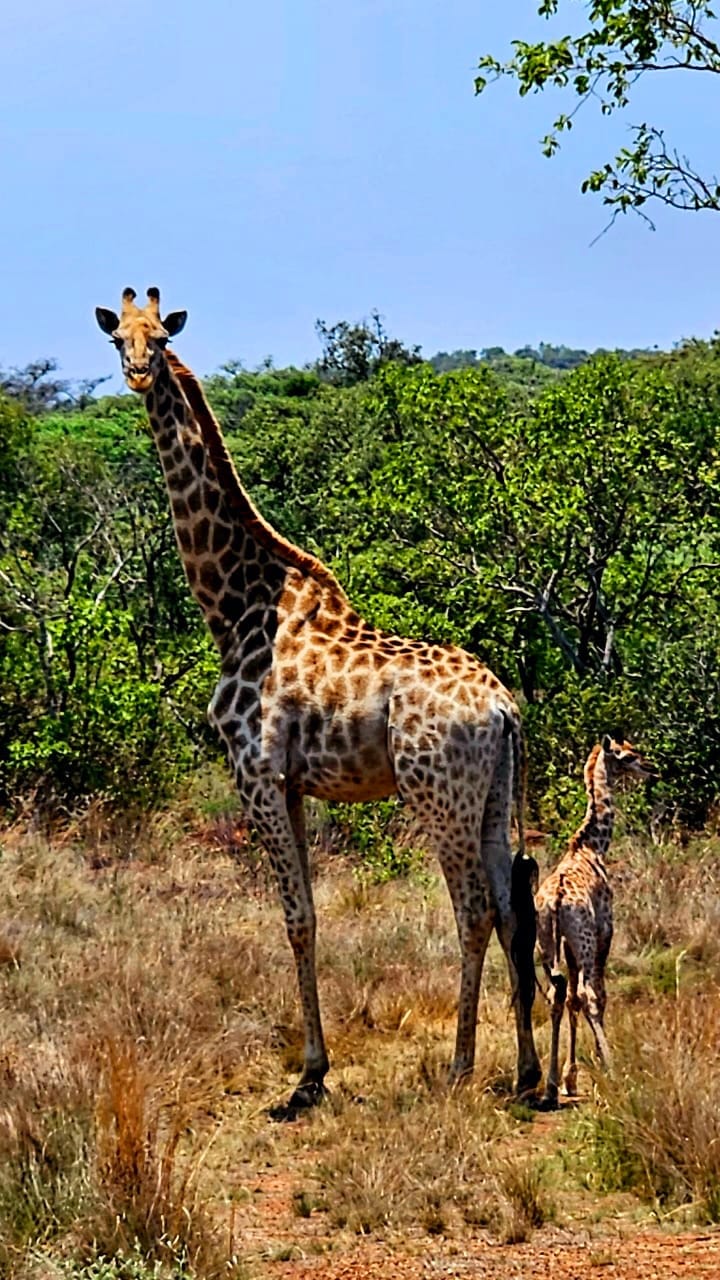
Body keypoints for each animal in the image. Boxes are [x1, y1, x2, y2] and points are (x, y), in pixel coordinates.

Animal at [95, 288, 541, 1115]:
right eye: (118, 339)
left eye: (158, 338)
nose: (138, 372)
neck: (235, 607)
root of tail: (505, 709)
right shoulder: (295, 785)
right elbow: (307, 916)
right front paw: (315, 1068)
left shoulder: (255, 775)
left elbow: (296, 916)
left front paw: (307, 1077)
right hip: (492, 796)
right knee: (510, 908)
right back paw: (529, 1072)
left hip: (438, 794)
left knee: (473, 908)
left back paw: (461, 1066)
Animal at [536, 735, 657, 1107]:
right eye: (628, 755)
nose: (652, 769)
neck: (593, 846)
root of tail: (556, 900)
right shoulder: (606, 929)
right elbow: (598, 995)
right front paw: (598, 1068)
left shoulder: (567, 947)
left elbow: (570, 999)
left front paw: (569, 1079)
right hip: (587, 939)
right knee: (590, 994)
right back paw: (614, 1071)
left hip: (546, 944)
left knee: (556, 994)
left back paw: (549, 1087)